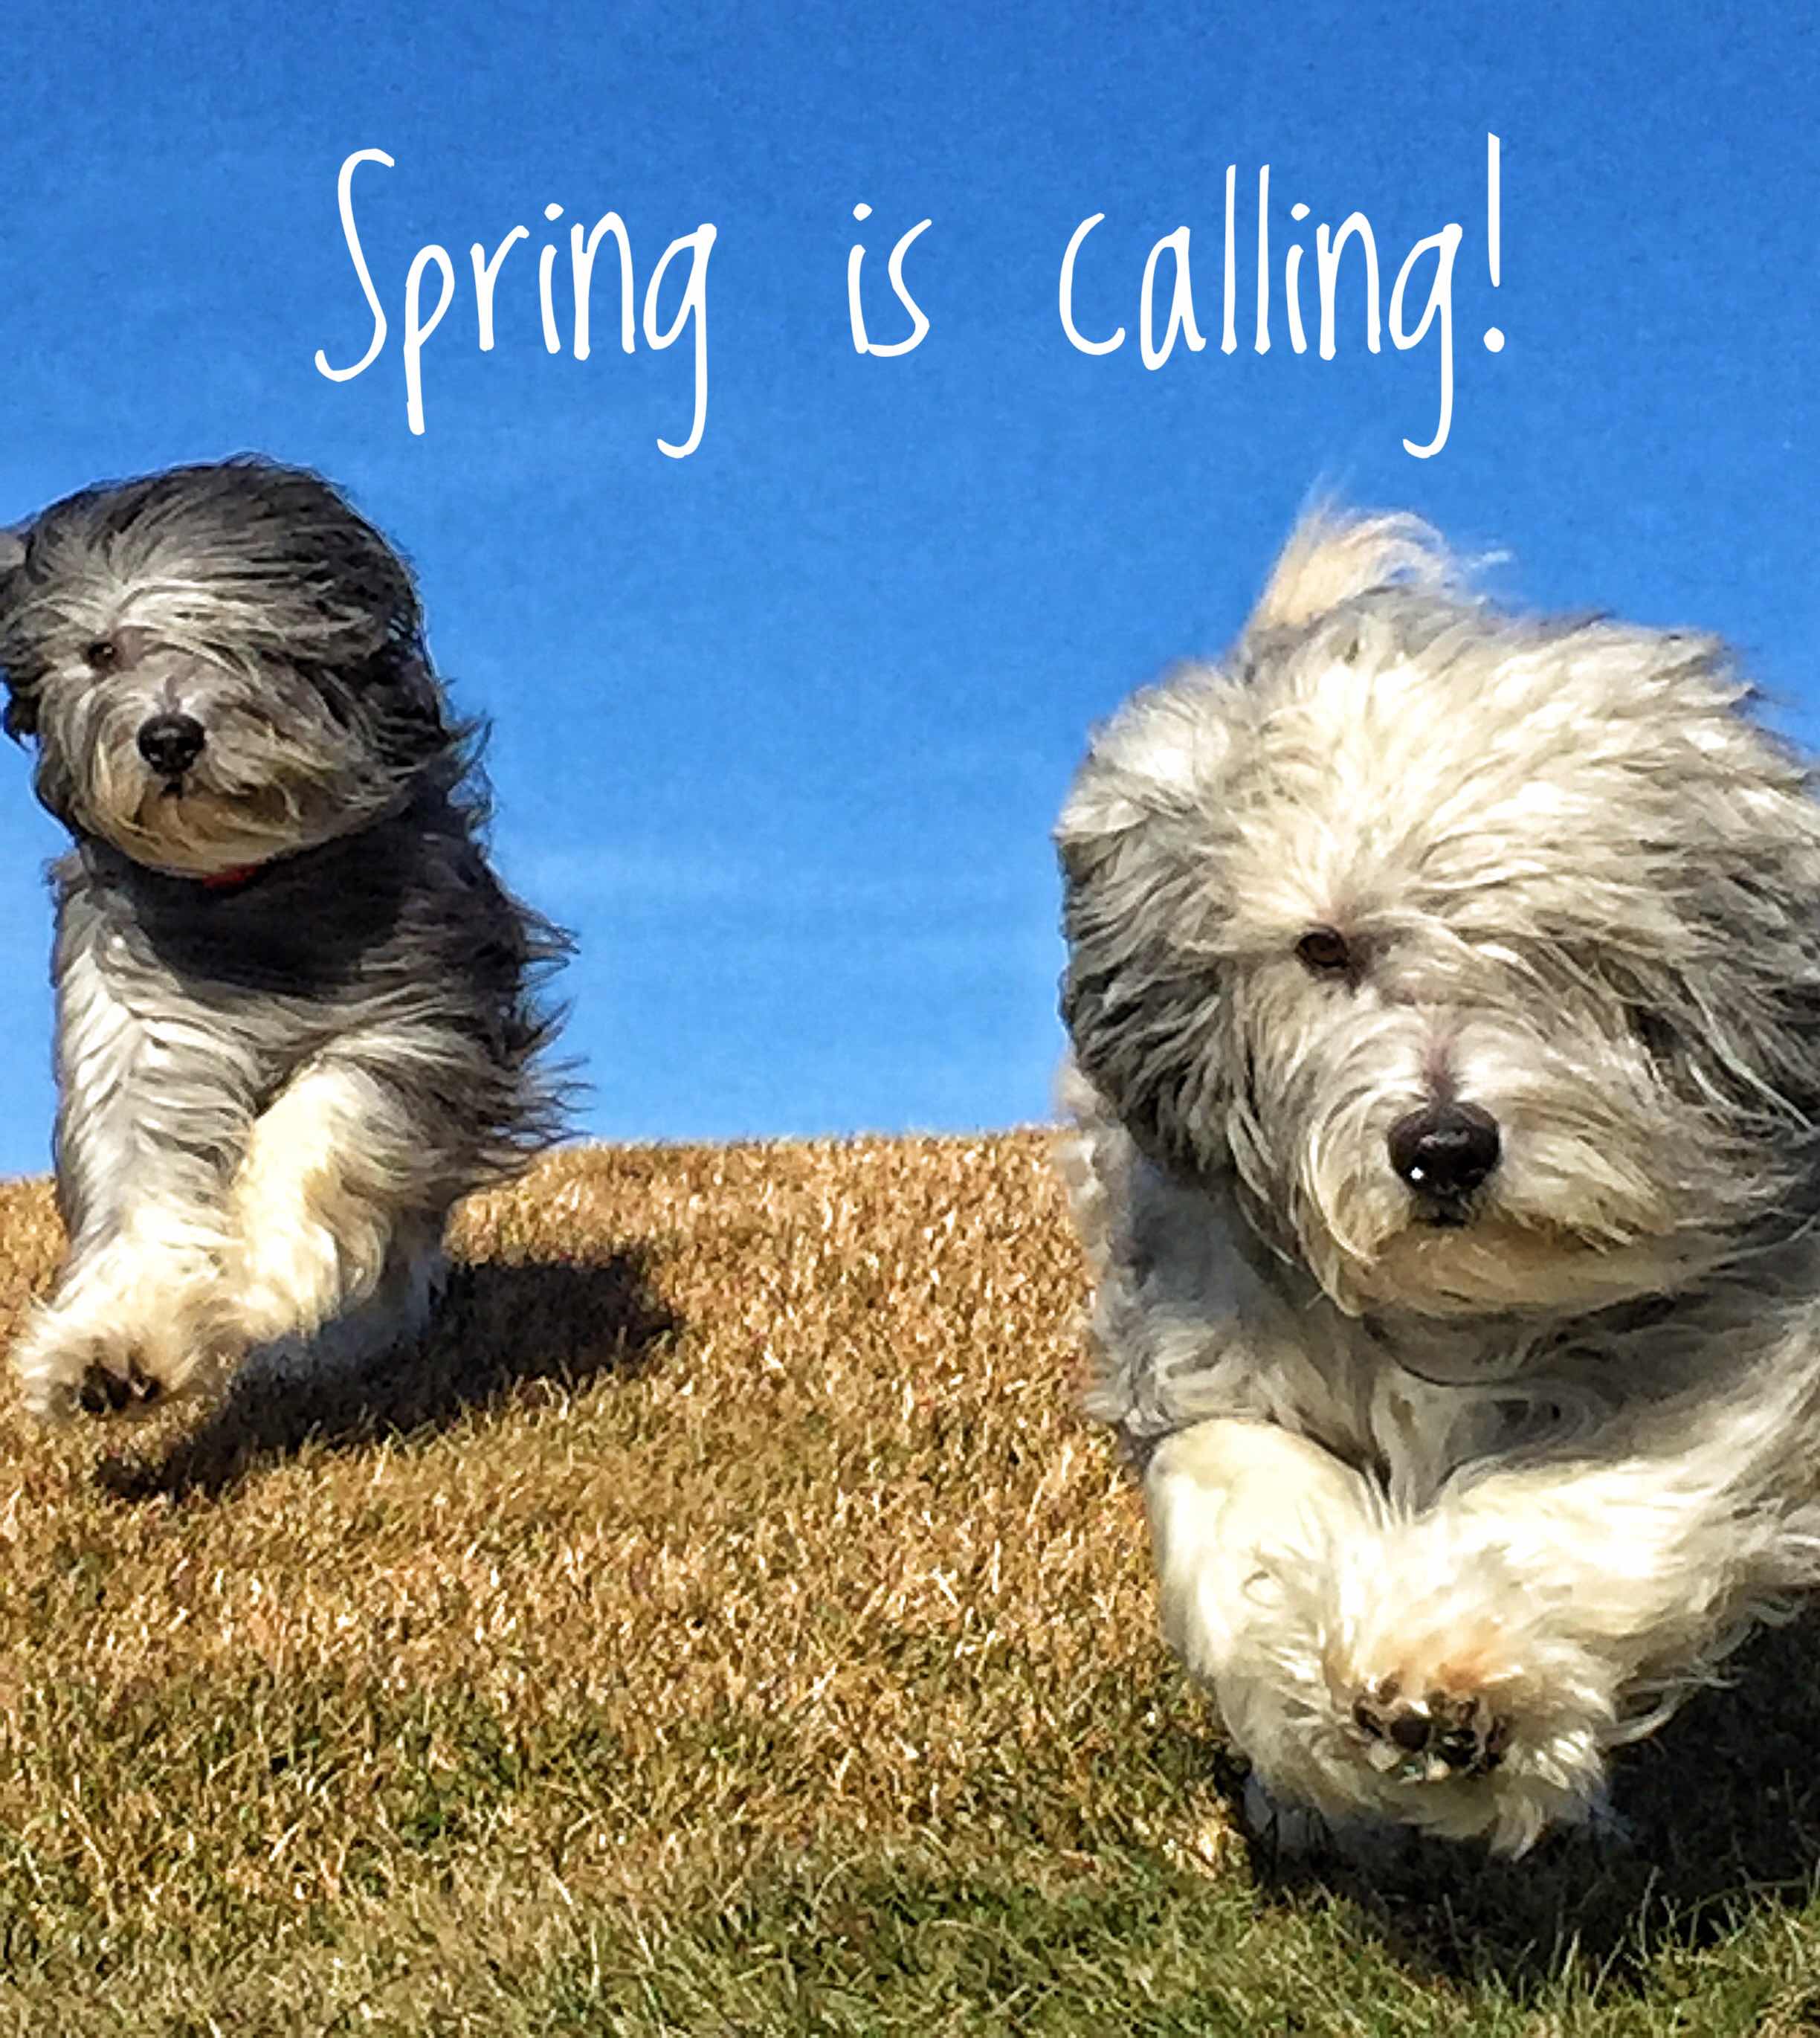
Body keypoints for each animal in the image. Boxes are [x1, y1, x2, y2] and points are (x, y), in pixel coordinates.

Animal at [0, 457, 569, 1420]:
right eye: (102, 651)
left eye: (251, 642)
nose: (169, 737)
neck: (249, 888)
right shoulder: (140, 1023)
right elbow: (143, 1173)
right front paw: (114, 1347)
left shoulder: (416, 1009)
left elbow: (325, 1120)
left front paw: (261, 1273)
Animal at [1056, 508, 1820, 1853]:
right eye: (1324, 948)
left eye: (1576, 952)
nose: (1443, 1145)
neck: (1454, 1313)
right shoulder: (1205, 1350)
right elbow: (1240, 1493)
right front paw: (1319, 1741)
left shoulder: (1725, 1344)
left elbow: (1589, 1496)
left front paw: (1450, 1681)